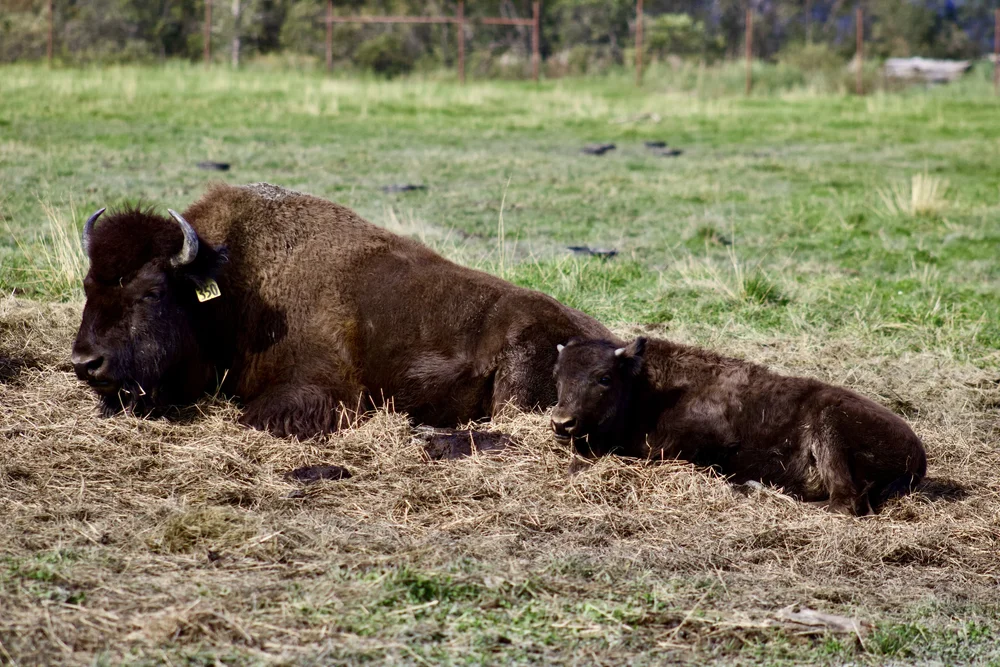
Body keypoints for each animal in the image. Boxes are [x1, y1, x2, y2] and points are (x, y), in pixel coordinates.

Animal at [551, 337, 927, 515]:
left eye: (603, 378)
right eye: (558, 375)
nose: (561, 423)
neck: (647, 389)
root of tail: (918, 455)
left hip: (830, 429)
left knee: (844, 503)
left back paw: (758, 490)